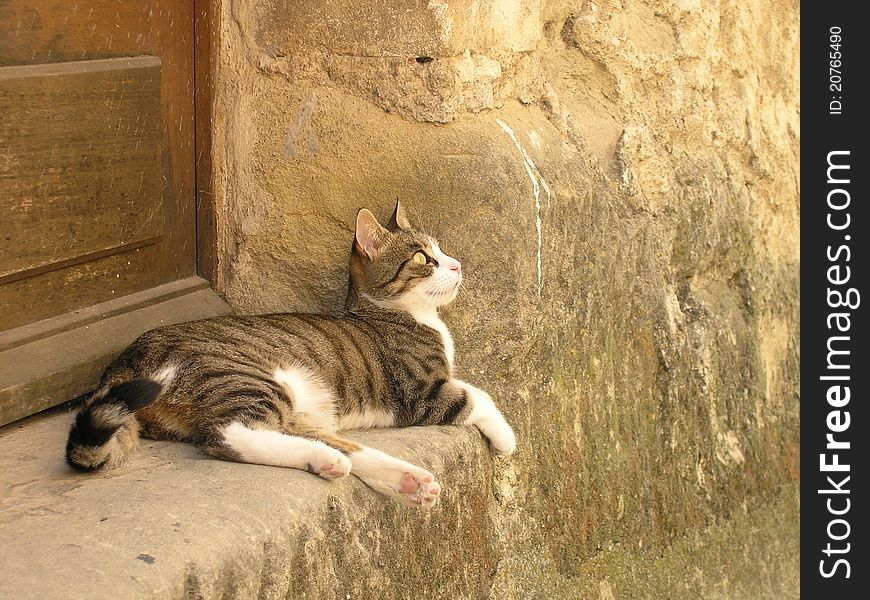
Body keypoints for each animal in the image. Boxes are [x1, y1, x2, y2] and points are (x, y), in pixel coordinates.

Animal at [70, 200, 516, 506]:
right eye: (424, 258)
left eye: (441, 250)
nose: (457, 265)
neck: (403, 313)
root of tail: (125, 360)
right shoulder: (421, 392)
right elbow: (476, 395)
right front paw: (507, 438)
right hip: (248, 378)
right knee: (228, 434)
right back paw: (330, 462)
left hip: (293, 407)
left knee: (335, 444)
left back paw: (396, 478)